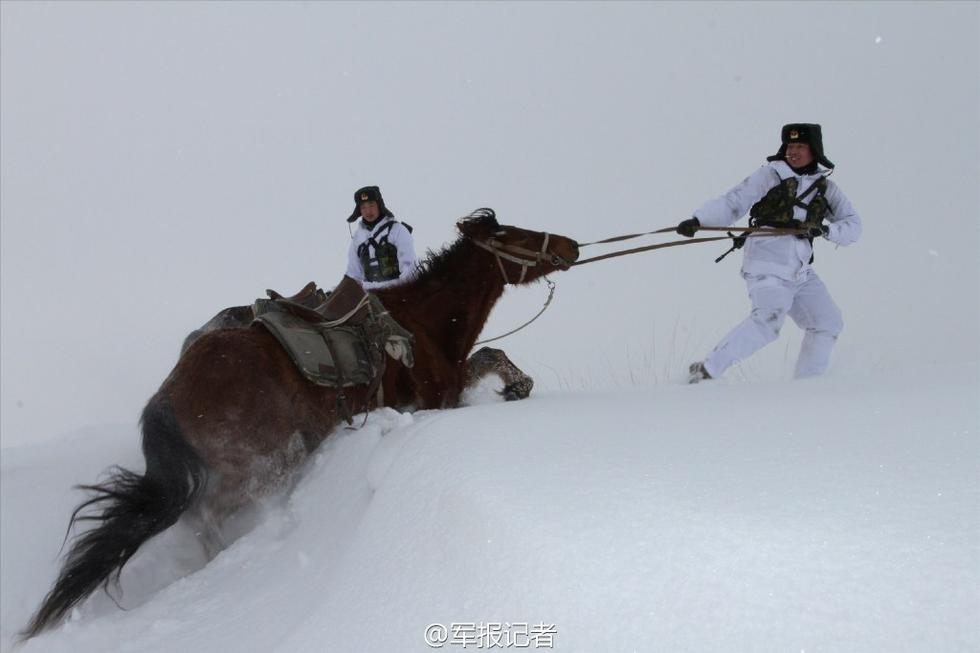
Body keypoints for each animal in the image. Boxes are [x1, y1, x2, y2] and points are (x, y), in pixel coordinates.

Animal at [23, 208, 580, 636]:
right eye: (516, 233)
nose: (571, 245)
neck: (419, 322)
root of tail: (169, 397)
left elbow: (490, 355)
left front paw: (517, 385)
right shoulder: (433, 402)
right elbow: (489, 358)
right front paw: (517, 386)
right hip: (270, 463)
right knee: (209, 518)